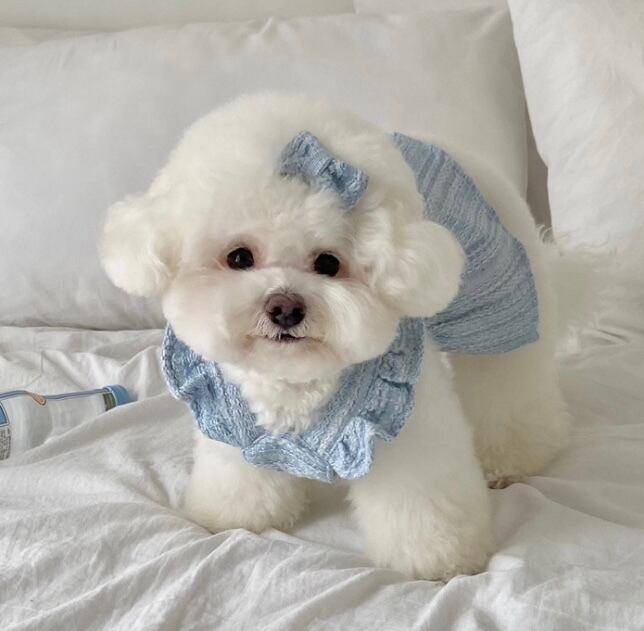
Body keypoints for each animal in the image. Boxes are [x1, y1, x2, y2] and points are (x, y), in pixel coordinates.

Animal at [100, 92, 569, 581]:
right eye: (239, 257)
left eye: (328, 263)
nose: (285, 308)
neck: (294, 382)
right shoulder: (230, 420)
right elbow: (240, 477)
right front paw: (233, 516)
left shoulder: (407, 423)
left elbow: (422, 495)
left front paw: (440, 560)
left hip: (504, 309)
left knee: (508, 385)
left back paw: (511, 458)